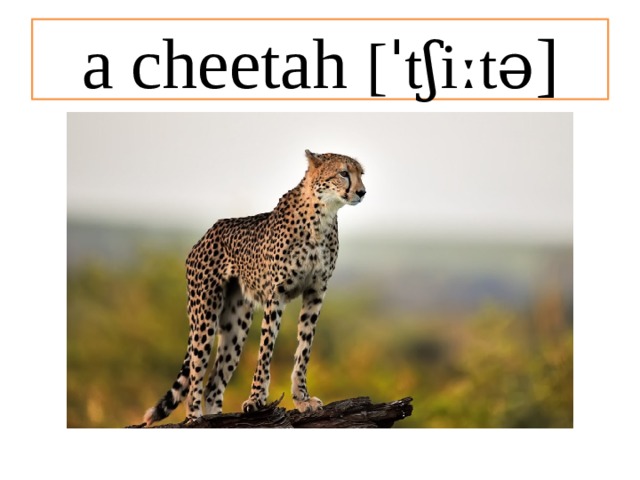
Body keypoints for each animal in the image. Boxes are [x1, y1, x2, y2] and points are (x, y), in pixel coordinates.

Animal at [143, 149, 366, 425]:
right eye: (343, 173)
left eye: (361, 174)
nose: (362, 192)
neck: (322, 214)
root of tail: (207, 234)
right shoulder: (276, 294)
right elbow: (266, 348)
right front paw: (256, 399)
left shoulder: (316, 292)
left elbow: (304, 349)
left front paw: (302, 398)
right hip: (204, 315)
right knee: (195, 373)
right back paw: (195, 417)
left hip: (235, 324)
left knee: (214, 382)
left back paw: (217, 417)